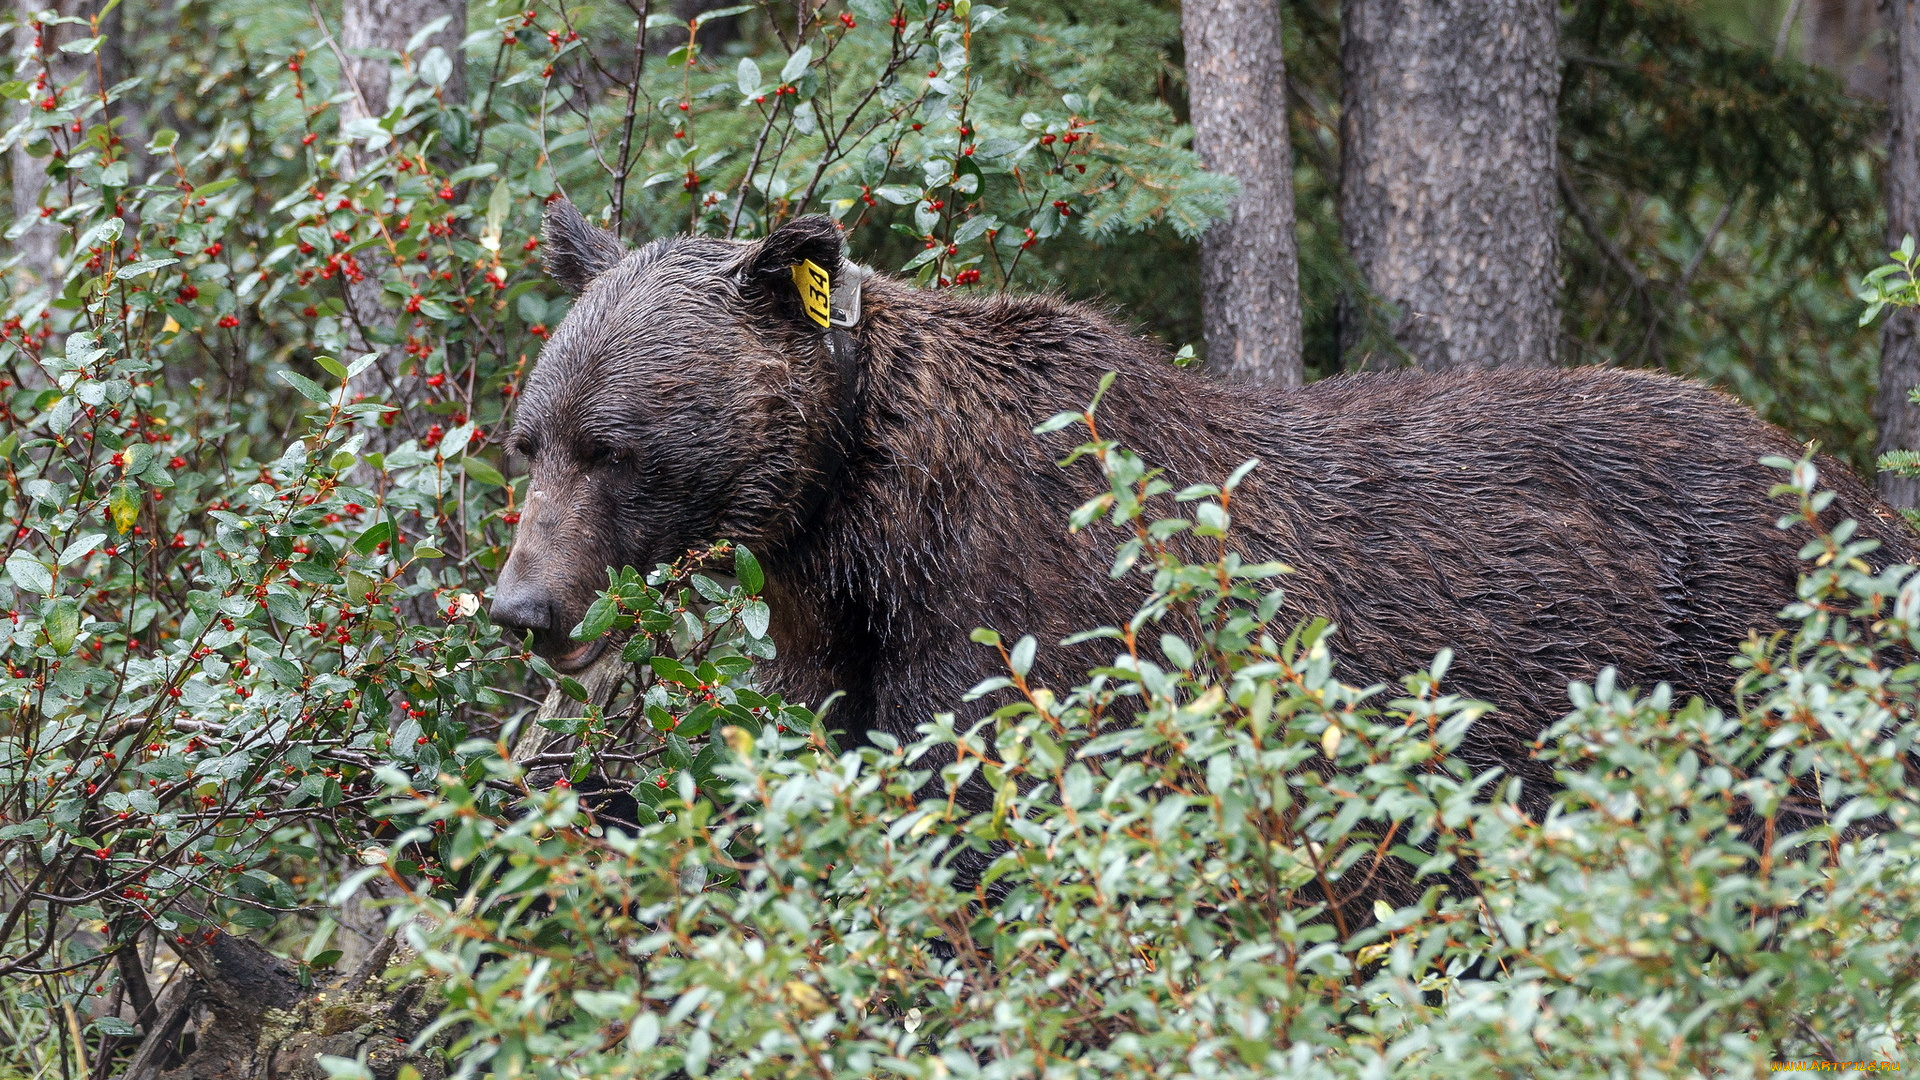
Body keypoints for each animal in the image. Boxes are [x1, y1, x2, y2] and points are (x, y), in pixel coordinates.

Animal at [492, 200, 1918, 833]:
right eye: (531, 436)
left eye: (612, 446)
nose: (520, 604)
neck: (861, 520)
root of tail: (1848, 487)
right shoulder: (842, 637)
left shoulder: (1025, 617)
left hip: (1748, 653)